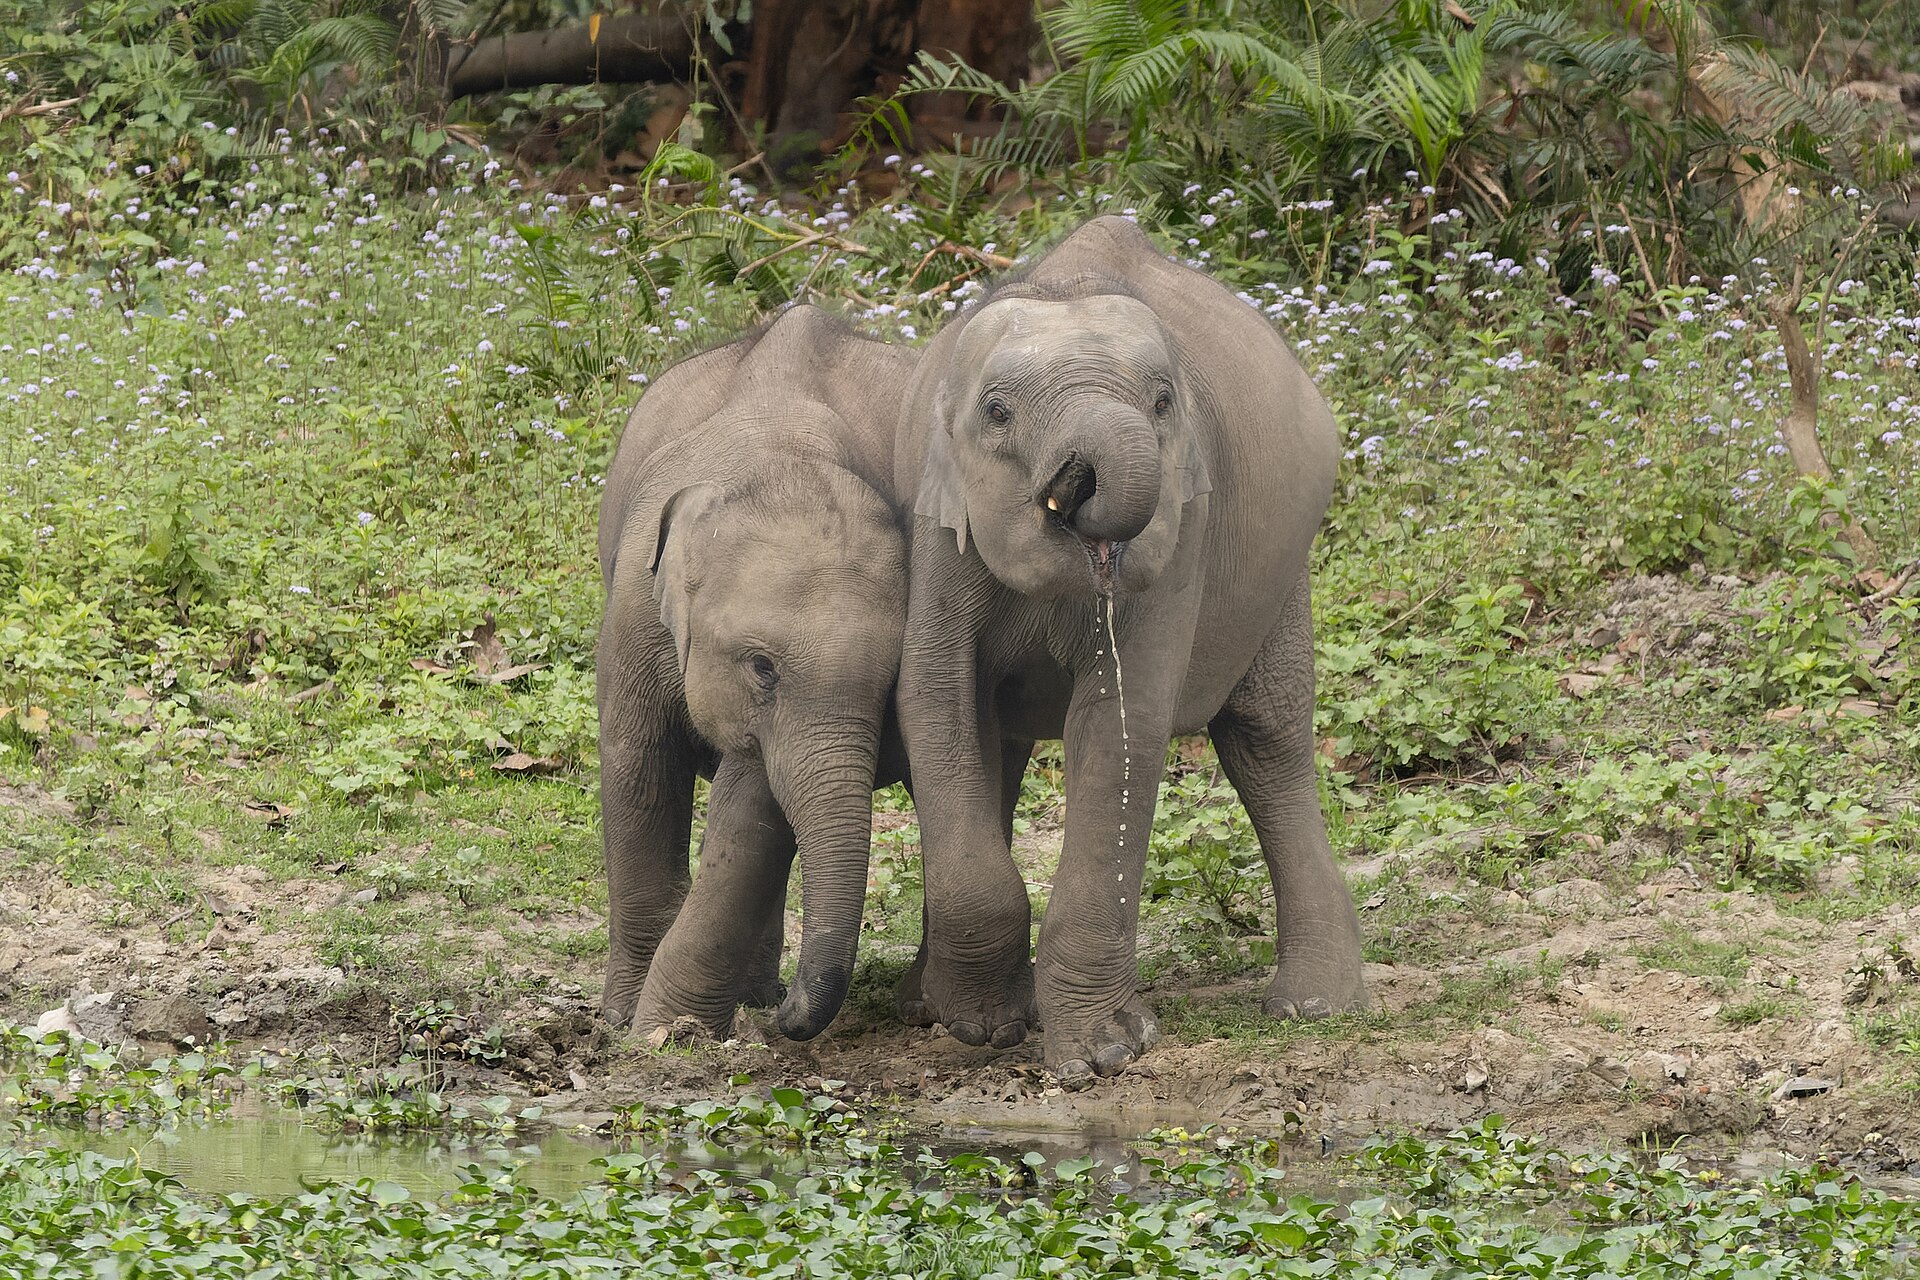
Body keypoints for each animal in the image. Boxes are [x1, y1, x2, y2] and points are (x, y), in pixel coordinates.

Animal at [595, 304, 912, 1043]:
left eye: (891, 689)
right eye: (763, 668)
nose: (788, 1020)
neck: (780, 456)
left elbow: (754, 807)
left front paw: (671, 1028)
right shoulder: (634, 606)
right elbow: (639, 768)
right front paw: (626, 1023)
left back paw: (754, 994)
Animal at [891, 215, 1367, 1083]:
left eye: (1163, 402)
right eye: (998, 412)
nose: (1078, 482)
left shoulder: (1184, 528)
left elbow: (1119, 721)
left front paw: (1104, 1053)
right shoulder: (938, 525)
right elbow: (937, 701)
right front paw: (981, 1024)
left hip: (1283, 569)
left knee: (1265, 740)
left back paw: (1318, 1006)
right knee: (997, 749)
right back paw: (925, 1005)